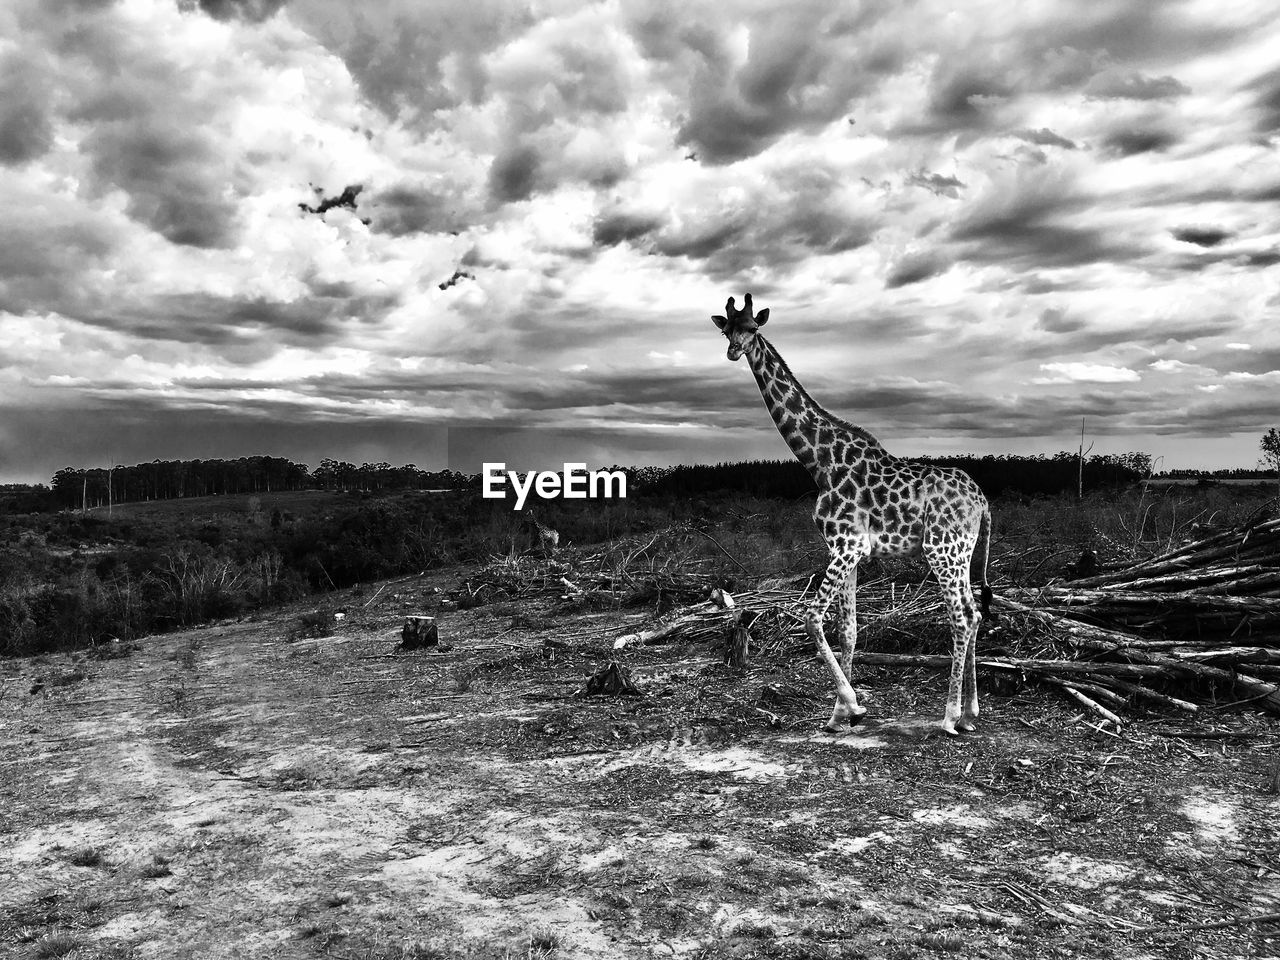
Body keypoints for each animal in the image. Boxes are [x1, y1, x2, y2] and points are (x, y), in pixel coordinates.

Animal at [716, 293, 993, 737]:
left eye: (753, 328)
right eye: (726, 329)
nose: (733, 351)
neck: (819, 462)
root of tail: (982, 501)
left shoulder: (846, 546)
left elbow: (813, 617)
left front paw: (852, 705)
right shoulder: (849, 551)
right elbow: (848, 630)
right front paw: (838, 716)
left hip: (942, 551)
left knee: (962, 619)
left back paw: (950, 715)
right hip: (962, 554)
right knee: (975, 612)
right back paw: (969, 713)